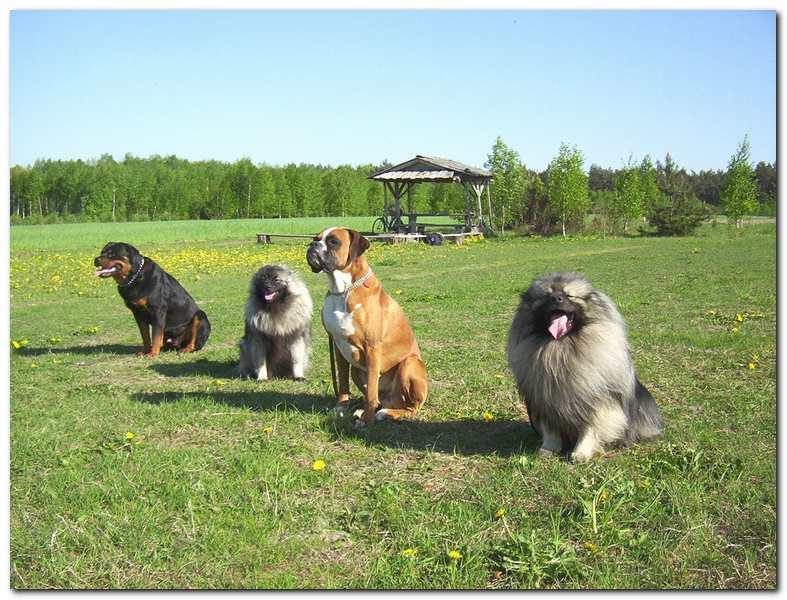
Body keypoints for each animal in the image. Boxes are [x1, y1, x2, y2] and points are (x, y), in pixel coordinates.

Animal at [306, 226, 428, 426]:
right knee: (379, 399)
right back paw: (363, 410)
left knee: (410, 408)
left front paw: (367, 419)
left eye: (333, 242)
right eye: (316, 238)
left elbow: (371, 391)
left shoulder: (372, 349)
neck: (343, 291)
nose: (312, 245)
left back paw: (384, 413)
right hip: (356, 369)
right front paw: (341, 408)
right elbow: (343, 383)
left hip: (409, 364)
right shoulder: (339, 348)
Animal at [504, 270, 664, 460]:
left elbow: (591, 428)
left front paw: (581, 453)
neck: (560, 347)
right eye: (547, 296)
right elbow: (551, 430)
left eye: (569, 295)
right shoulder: (544, 401)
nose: (556, 298)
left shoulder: (596, 400)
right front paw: (549, 448)